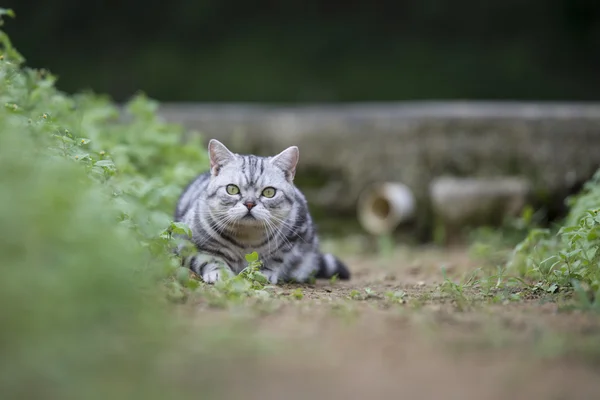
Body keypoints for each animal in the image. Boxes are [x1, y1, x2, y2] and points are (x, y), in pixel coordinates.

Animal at [173, 140, 350, 284]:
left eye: (269, 192)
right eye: (232, 189)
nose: (250, 203)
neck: (246, 238)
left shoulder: (295, 236)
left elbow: (275, 259)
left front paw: (263, 273)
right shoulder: (189, 242)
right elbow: (209, 258)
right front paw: (220, 273)